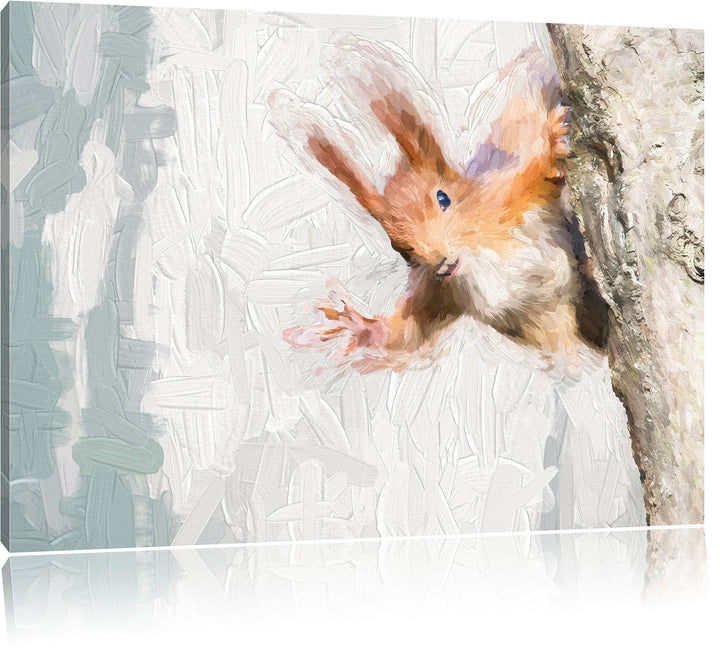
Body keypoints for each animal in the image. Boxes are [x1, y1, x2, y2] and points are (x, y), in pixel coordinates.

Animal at [267, 37, 607, 374]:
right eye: (397, 247)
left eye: (444, 198)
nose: (442, 262)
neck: (476, 261)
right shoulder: (440, 293)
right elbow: (408, 331)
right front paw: (360, 328)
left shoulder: (507, 198)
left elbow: (540, 174)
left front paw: (555, 138)